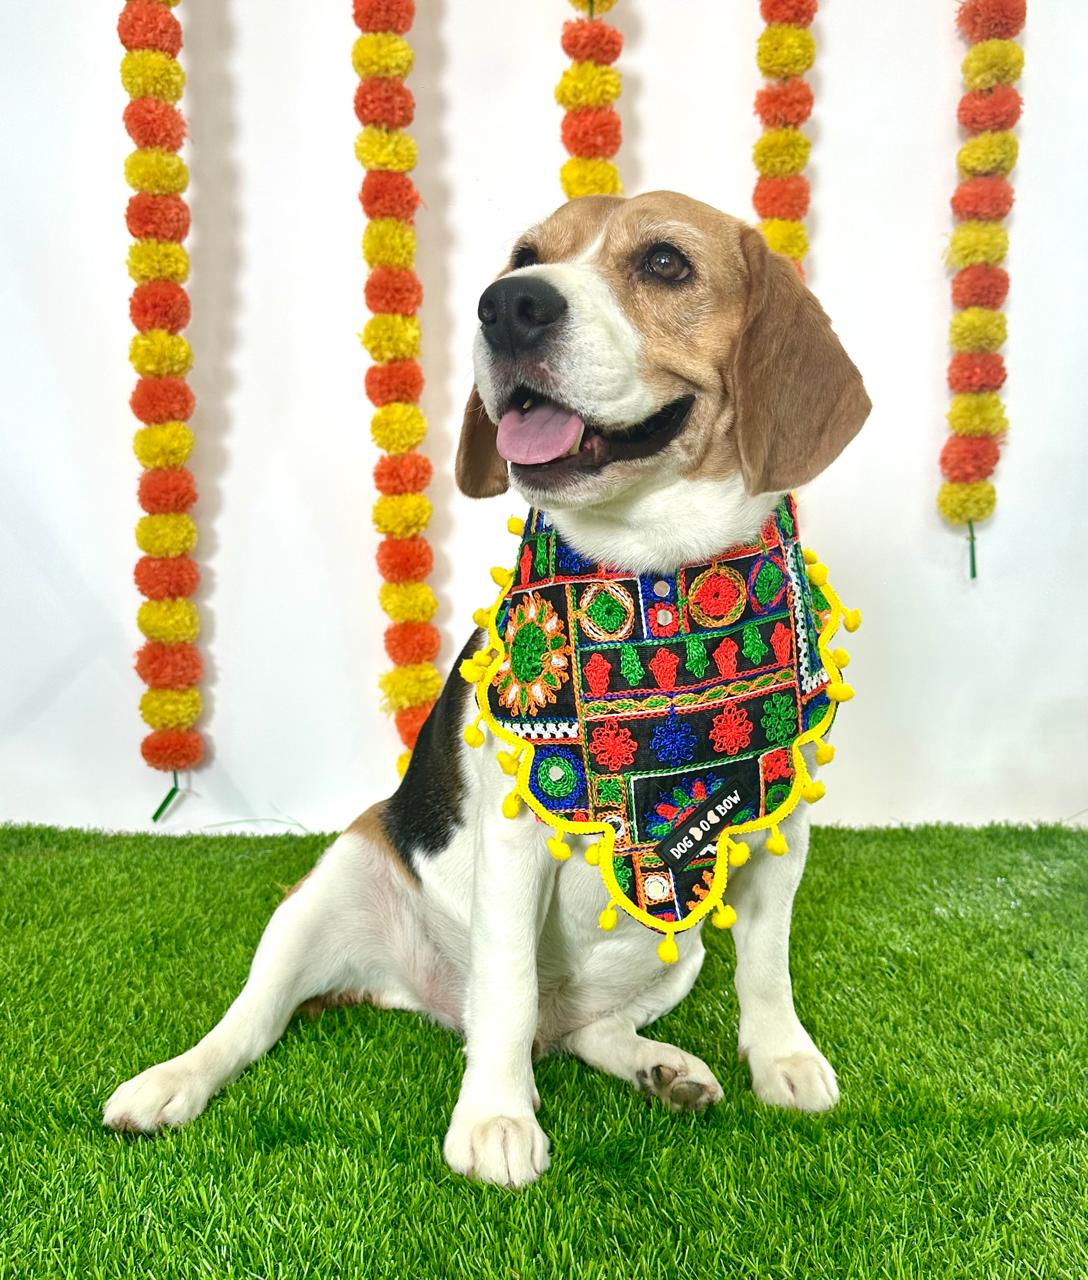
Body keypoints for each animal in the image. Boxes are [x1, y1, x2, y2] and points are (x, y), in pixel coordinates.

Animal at [101, 189, 865, 1187]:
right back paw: (172, 1081)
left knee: (588, 1033)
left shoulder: (780, 830)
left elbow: (768, 969)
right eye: (524, 255)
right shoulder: (515, 842)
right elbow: (506, 985)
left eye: (665, 263)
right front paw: (495, 1119)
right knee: (258, 1024)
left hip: (679, 951)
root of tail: (426, 1000)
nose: (507, 306)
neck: (654, 572)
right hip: (324, 891)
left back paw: (661, 1068)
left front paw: (783, 1058)